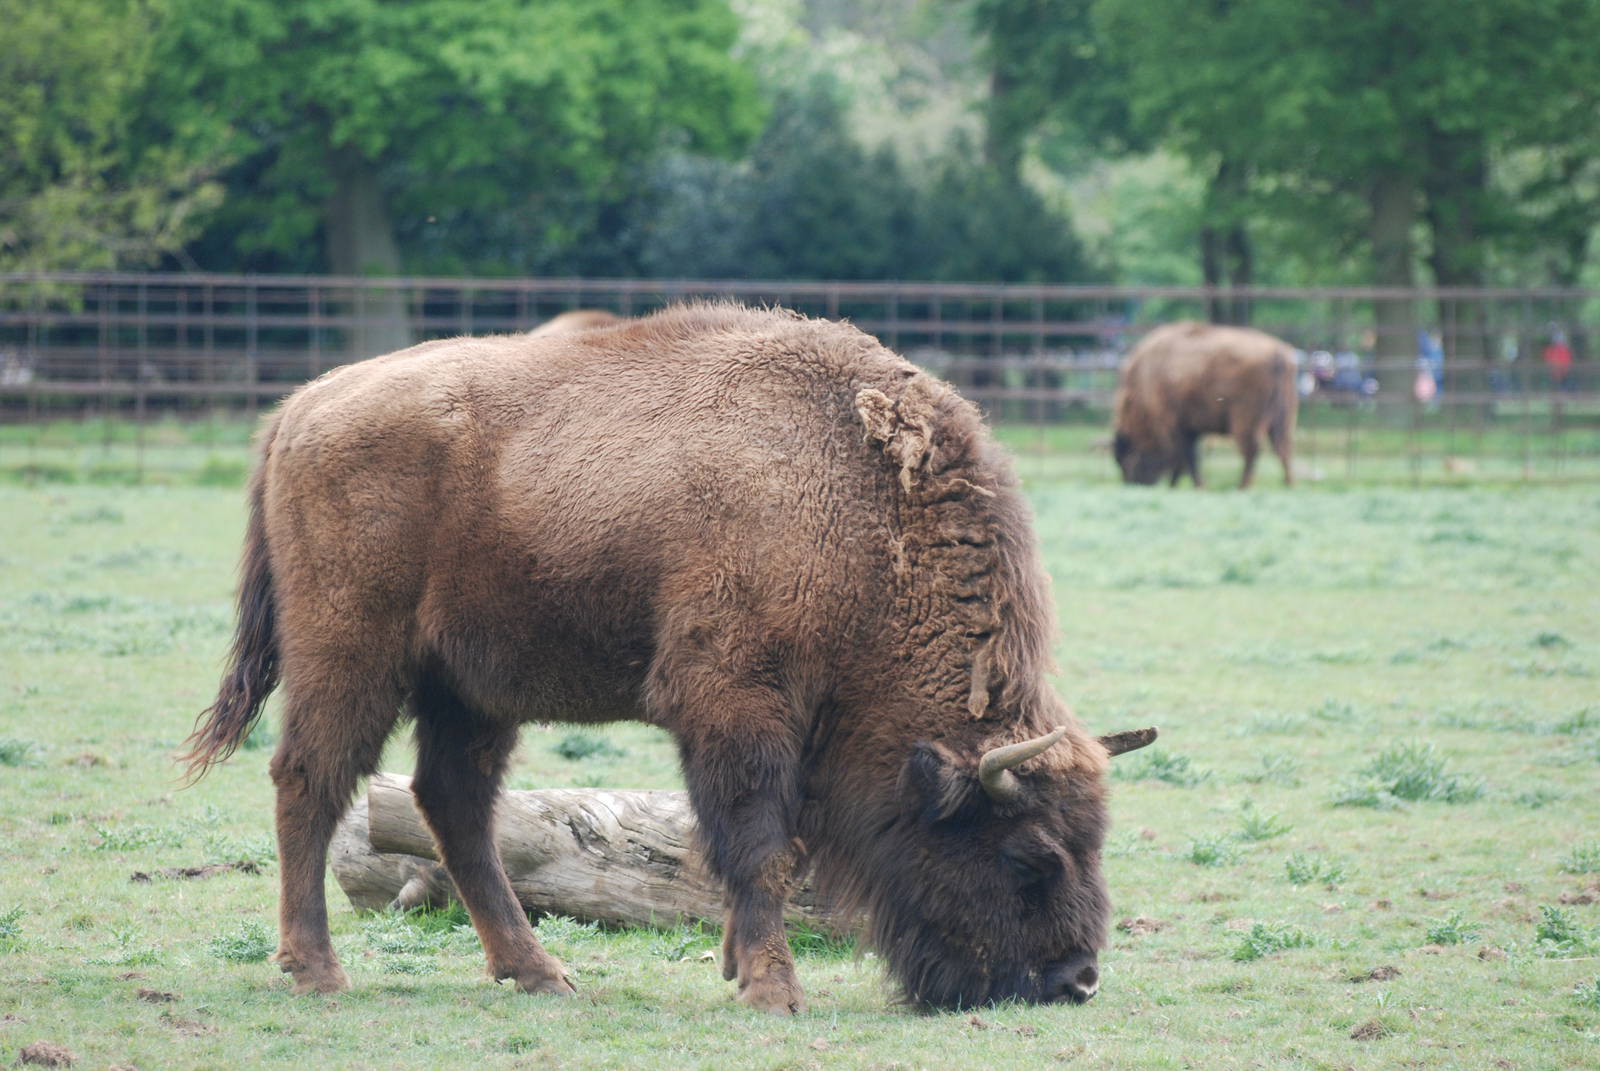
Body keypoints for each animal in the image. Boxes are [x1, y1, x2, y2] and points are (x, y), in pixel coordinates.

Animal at [184, 303, 1155, 1014]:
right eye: (1030, 857)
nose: (1075, 979)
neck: (858, 510)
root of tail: (304, 406)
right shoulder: (734, 703)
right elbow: (761, 843)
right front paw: (772, 988)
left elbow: (759, 846)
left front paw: (737, 965)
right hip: (351, 655)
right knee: (310, 779)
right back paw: (318, 969)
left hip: (468, 690)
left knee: (453, 805)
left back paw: (540, 973)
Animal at [1112, 321, 1298, 488]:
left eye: (1127, 458)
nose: (1133, 484)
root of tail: (1277, 353)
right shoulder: (1189, 428)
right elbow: (1189, 458)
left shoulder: (1174, 425)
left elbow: (1185, 458)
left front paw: (1186, 485)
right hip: (1282, 418)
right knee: (1283, 448)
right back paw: (1288, 485)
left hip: (1244, 419)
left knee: (1253, 449)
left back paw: (1242, 487)